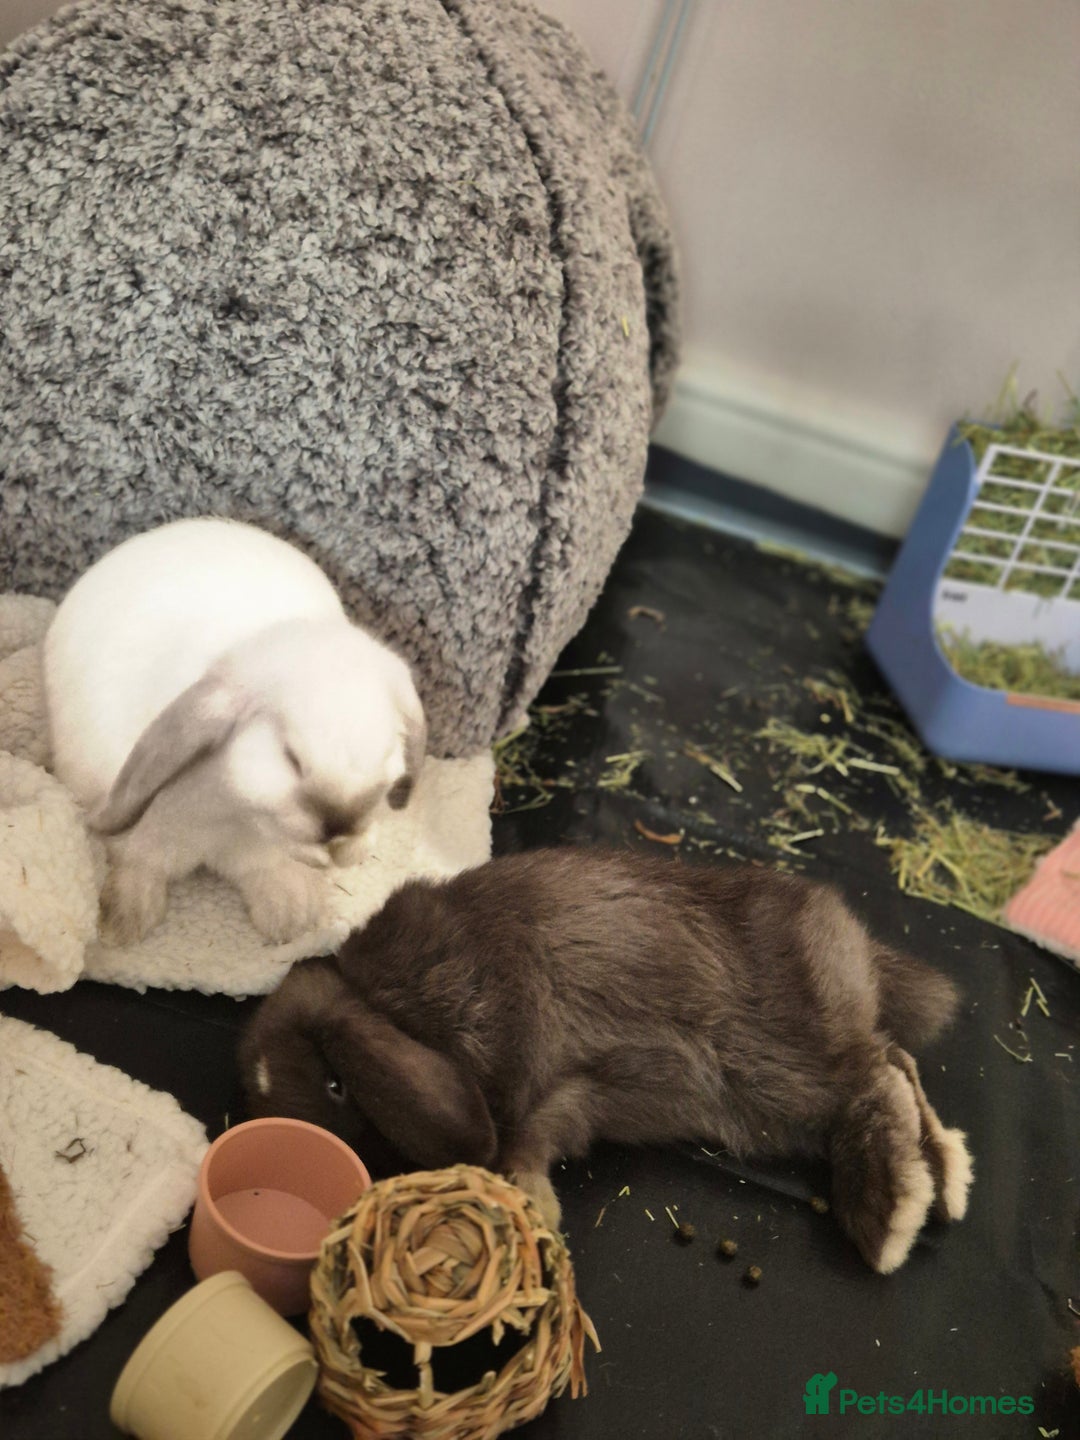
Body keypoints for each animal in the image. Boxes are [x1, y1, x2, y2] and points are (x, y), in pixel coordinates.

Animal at [43, 517, 426, 945]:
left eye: (389, 756)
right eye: (291, 757)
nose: (340, 828)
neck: (229, 807)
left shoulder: (258, 847)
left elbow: (269, 865)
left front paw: (292, 916)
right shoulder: (143, 832)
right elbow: (138, 861)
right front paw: (124, 919)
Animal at [238, 847, 973, 1273]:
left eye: (338, 1083)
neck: (382, 1002)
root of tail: (855, 945)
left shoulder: (515, 1039)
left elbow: (517, 1148)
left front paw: (529, 1216)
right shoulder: (556, 1103)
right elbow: (526, 1146)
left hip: (777, 1065)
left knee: (874, 1077)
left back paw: (892, 1216)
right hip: (774, 1102)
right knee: (895, 1066)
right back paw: (942, 1187)